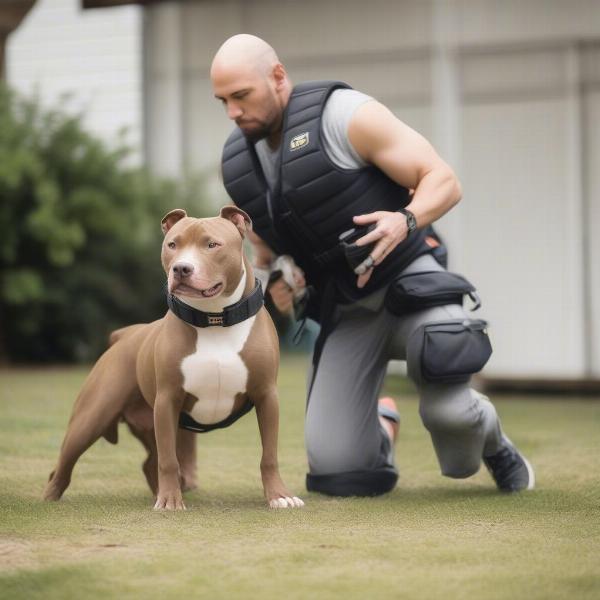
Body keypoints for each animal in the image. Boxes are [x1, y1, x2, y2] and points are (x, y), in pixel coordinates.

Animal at [42, 207, 304, 510]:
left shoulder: (266, 396)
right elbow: (169, 460)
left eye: (212, 244)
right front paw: (169, 501)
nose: (181, 268)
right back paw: (51, 497)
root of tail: (125, 335)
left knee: (148, 463)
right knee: (65, 464)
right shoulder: (167, 400)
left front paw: (279, 496)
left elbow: (269, 454)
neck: (214, 320)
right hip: (91, 418)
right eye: (172, 245)